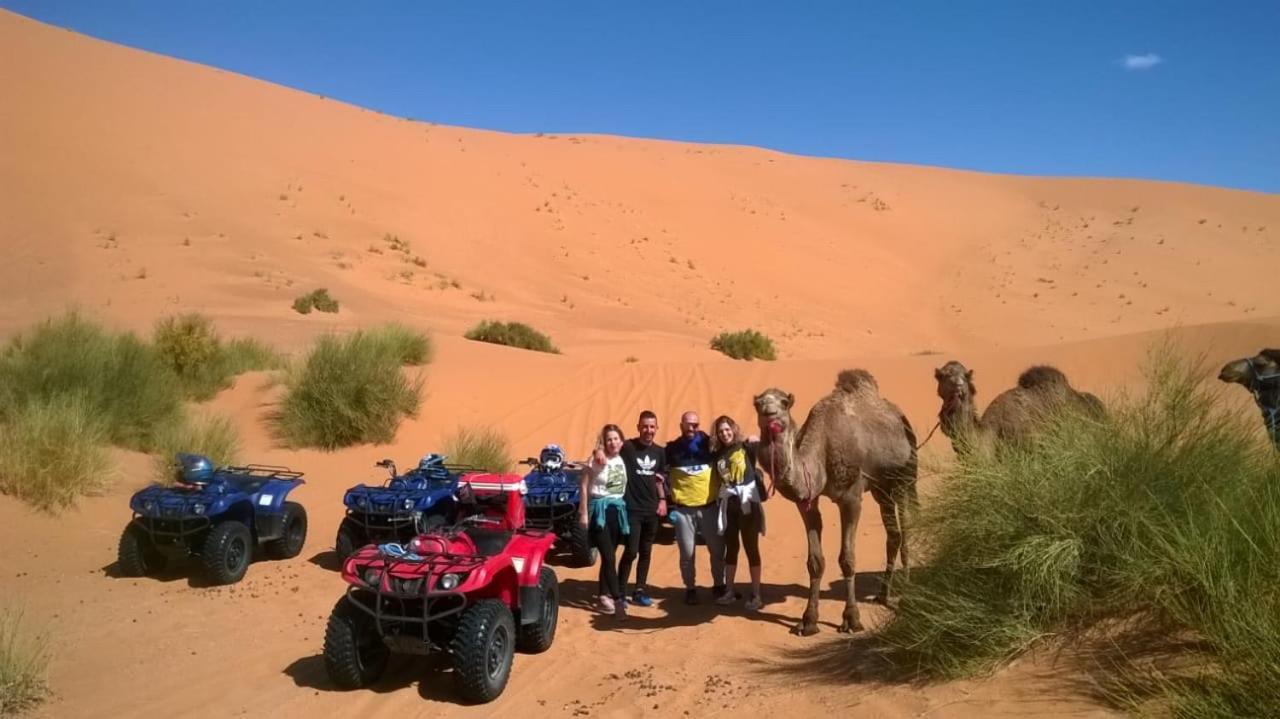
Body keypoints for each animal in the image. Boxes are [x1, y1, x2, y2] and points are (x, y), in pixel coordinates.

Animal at [747, 368, 921, 632]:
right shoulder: (807, 502)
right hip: (881, 488)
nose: (769, 413)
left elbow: (847, 559)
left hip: (903, 477)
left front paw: (851, 619)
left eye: (784, 403)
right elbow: (815, 561)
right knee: (893, 536)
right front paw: (808, 620)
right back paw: (883, 595)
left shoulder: (851, 497)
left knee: (907, 532)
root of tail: (900, 417)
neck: (822, 448)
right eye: (758, 404)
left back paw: (906, 596)